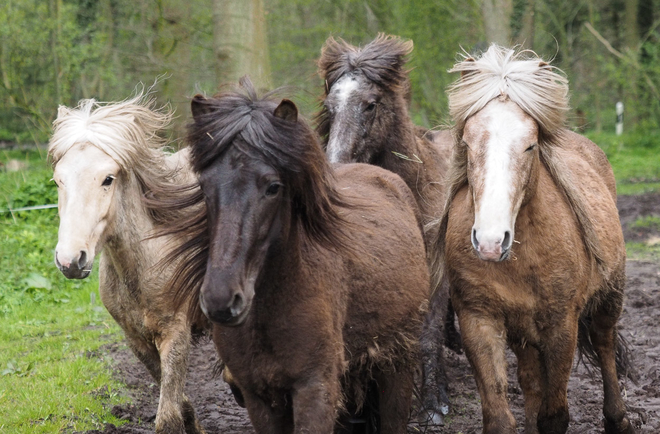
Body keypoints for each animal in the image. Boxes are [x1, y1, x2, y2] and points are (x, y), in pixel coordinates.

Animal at [49, 96, 208, 434]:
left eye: (107, 179)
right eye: (58, 180)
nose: (70, 260)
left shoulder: (176, 333)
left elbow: (167, 418)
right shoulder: (137, 341)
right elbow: (180, 402)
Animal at [158, 79, 430, 434]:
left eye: (273, 187)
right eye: (204, 187)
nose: (221, 299)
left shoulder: (315, 390)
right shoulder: (259, 397)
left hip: (397, 365)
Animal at [318, 33, 456, 424]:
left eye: (370, 104)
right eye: (330, 107)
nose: (335, 166)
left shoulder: (436, 273)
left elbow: (429, 334)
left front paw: (432, 405)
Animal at [434, 44, 636, 434]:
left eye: (530, 146)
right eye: (466, 141)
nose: (490, 242)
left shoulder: (561, 326)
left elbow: (555, 414)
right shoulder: (478, 320)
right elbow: (501, 414)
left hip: (609, 297)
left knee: (604, 345)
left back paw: (618, 419)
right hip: (522, 330)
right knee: (530, 379)